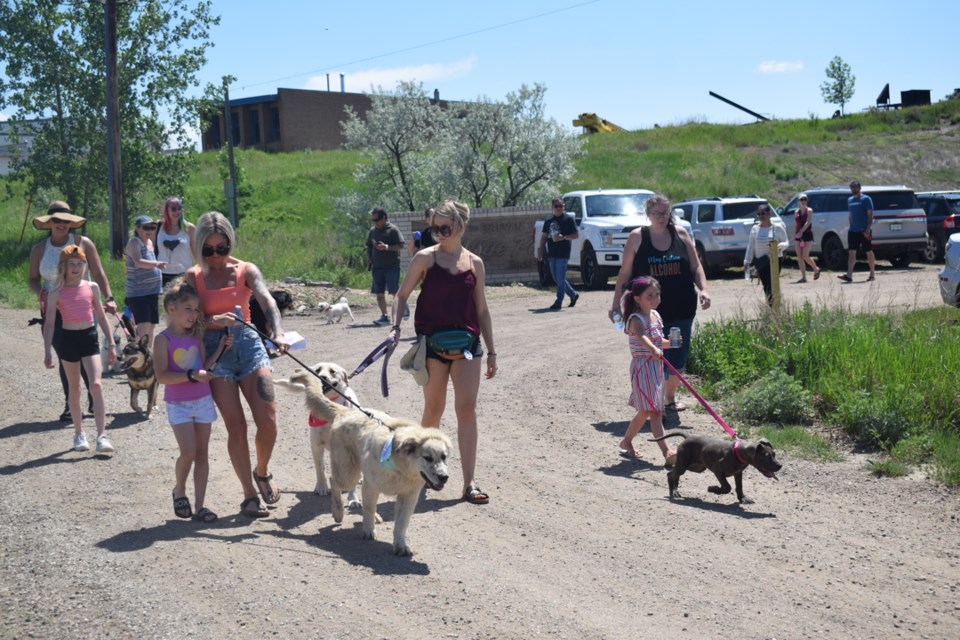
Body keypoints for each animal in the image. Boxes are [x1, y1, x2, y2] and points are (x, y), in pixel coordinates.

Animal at [286, 368, 452, 556]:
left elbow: (401, 524)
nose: (444, 477)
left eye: (444, 457)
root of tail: (346, 411)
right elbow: (368, 508)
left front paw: (400, 544)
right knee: (333, 481)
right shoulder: (371, 486)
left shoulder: (408, 497)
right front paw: (368, 530)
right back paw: (338, 511)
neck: (400, 467)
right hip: (347, 473)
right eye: (427, 457)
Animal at [652, 432, 780, 502]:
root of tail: (687, 437)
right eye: (767, 457)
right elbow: (727, 487)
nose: (780, 465)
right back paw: (673, 491)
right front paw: (713, 489)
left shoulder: (738, 473)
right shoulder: (717, 470)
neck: (738, 452)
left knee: (676, 475)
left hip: (695, 467)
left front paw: (742, 498)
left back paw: (675, 489)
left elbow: (739, 487)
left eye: (774, 454)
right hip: (684, 464)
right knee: (670, 474)